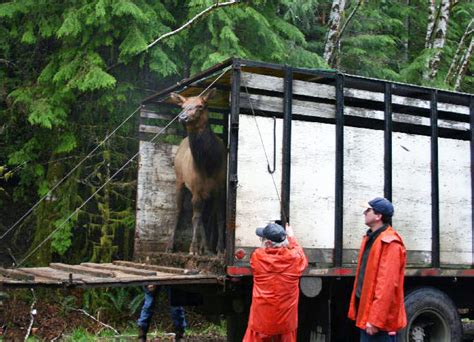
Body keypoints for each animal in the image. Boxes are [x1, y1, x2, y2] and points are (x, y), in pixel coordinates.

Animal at [167, 88, 226, 254]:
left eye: (200, 105)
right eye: (183, 106)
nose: (182, 117)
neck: (208, 164)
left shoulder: (220, 188)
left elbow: (219, 217)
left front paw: (220, 249)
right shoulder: (196, 188)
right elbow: (195, 218)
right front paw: (193, 249)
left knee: (204, 218)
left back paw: (205, 247)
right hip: (180, 181)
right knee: (179, 210)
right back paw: (170, 245)